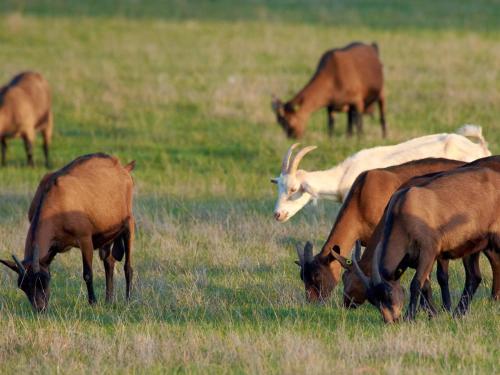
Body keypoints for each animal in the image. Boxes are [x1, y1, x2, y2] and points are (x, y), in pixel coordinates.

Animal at [0, 153, 135, 312]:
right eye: (23, 286)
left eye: (43, 280)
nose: (40, 308)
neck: (55, 200)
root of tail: (123, 168)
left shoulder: (85, 238)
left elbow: (87, 273)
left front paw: (93, 303)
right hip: (106, 234)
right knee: (109, 262)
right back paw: (108, 300)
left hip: (128, 223)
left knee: (128, 266)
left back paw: (128, 300)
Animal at [352, 157, 500, 324]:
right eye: (373, 301)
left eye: (388, 294)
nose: (391, 321)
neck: (403, 210)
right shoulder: (417, 258)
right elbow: (425, 285)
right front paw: (433, 314)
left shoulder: (429, 249)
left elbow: (416, 284)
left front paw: (410, 317)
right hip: (472, 244)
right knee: (474, 277)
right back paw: (458, 313)